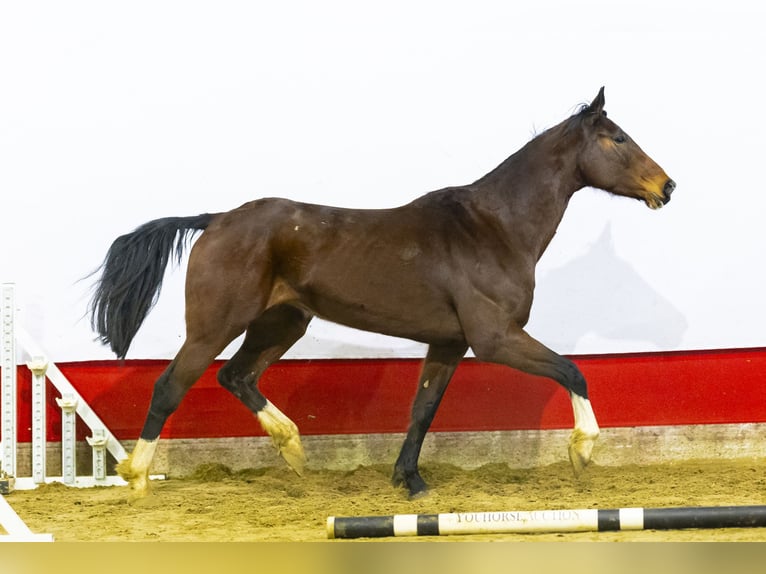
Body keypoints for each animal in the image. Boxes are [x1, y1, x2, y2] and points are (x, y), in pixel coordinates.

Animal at [91, 89, 680, 500]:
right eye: (618, 138)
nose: (667, 187)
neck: (493, 229)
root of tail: (215, 220)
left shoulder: (449, 343)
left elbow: (423, 409)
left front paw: (410, 481)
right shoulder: (494, 338)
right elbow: (572, 370)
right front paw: (582, 452)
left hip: (282, 321)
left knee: (237, 376)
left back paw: (294, 449)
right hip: (215, 324)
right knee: (171, 385)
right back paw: (137, 478)